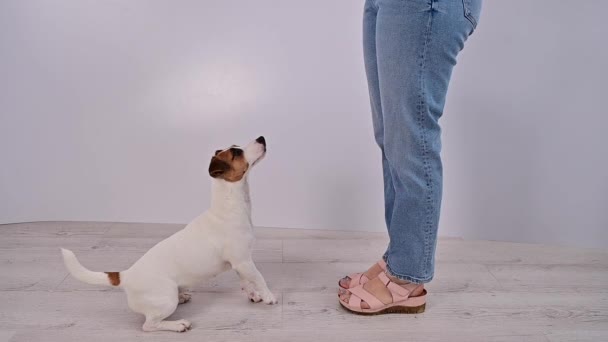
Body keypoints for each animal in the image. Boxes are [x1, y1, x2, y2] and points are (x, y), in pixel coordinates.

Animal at [58, 136, 276, 332]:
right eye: (237, 152)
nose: (261, 137)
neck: (230, 204)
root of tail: (126, 275)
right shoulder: (244, 261)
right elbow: (259, 278)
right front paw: (268, 296)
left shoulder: (240, 263)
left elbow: (246, 281)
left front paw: (254, 295)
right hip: (166, 298)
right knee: (149, 325)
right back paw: (178, 324)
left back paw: (183, 297)